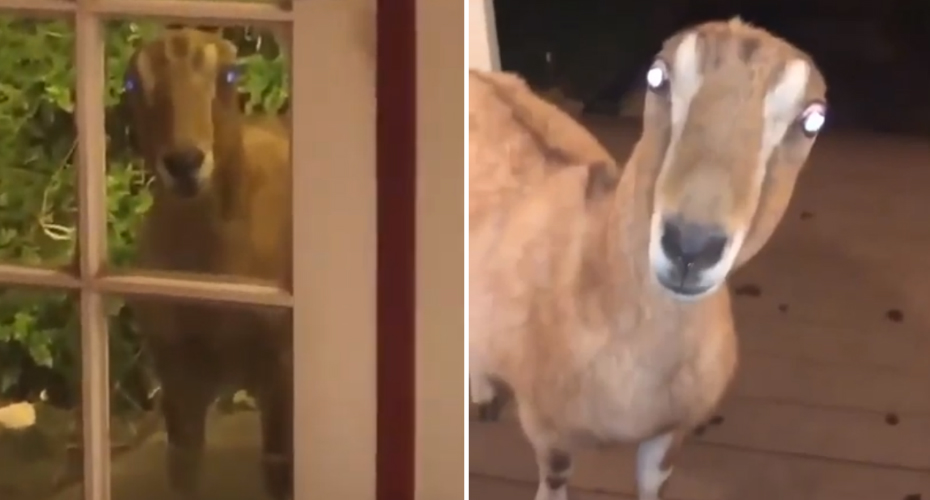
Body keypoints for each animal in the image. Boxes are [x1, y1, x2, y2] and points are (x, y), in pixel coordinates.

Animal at [120, 28, 293, 499]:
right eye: (132, 82)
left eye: (229, 73)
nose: (184, 162)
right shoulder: (176, 371)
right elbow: (183, 466)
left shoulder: (281, 370)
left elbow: (278, 467)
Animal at [469, 19, 827, 500]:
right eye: (656, 76)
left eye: (813, 119)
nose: (690, 245)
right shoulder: (547, 428)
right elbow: (555, 476)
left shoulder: (669, 433)